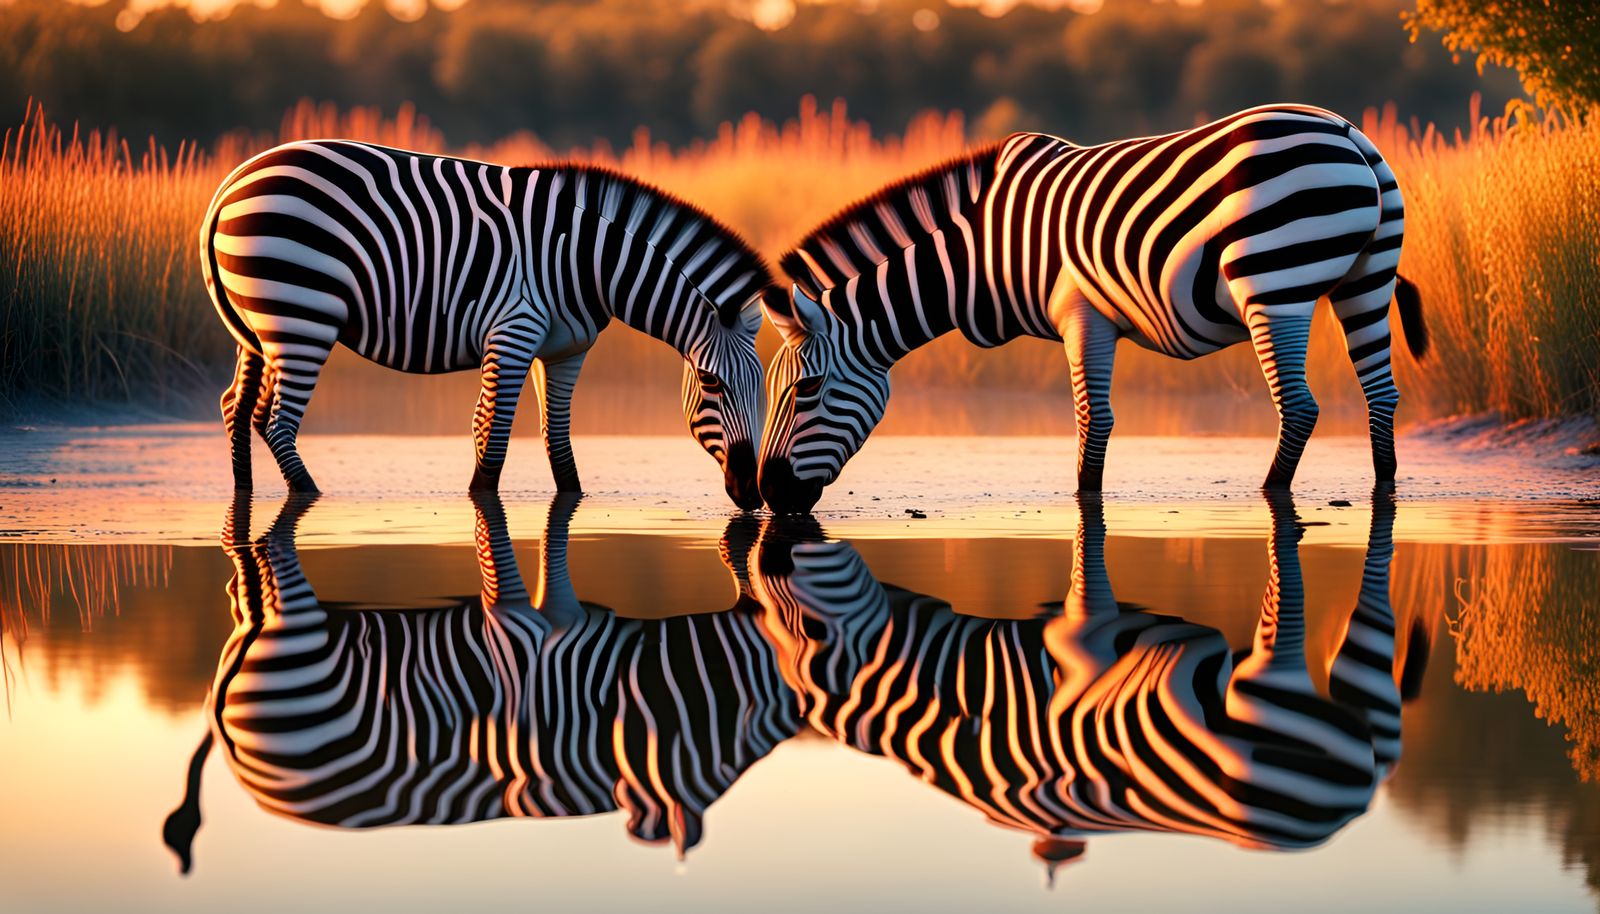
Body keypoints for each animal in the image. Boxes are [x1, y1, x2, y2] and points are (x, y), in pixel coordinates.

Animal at [202, 141, 771, 507]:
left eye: (763, 387)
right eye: (710, 383)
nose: (751, 493)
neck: (587, 262)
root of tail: (231, 184)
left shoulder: (566, 350)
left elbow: (557, 441)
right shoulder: (513, 332)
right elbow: (491, 435)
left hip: (260, 328)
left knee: (237, 408)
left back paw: (243, 493)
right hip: (304, 316)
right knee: (277, 422)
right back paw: (310, 495)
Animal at [758, 104, 1429, 512]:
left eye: (807, 390)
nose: (768, 494)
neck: (985, 252)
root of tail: (1349, 134)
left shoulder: (1082, 314)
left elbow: (1093, 420)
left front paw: (1084, 506)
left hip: (1273, 285)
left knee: (1300, 407)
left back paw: (1269, 494)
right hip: (1366, 282)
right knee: (1381, 394)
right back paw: (1385, 489)